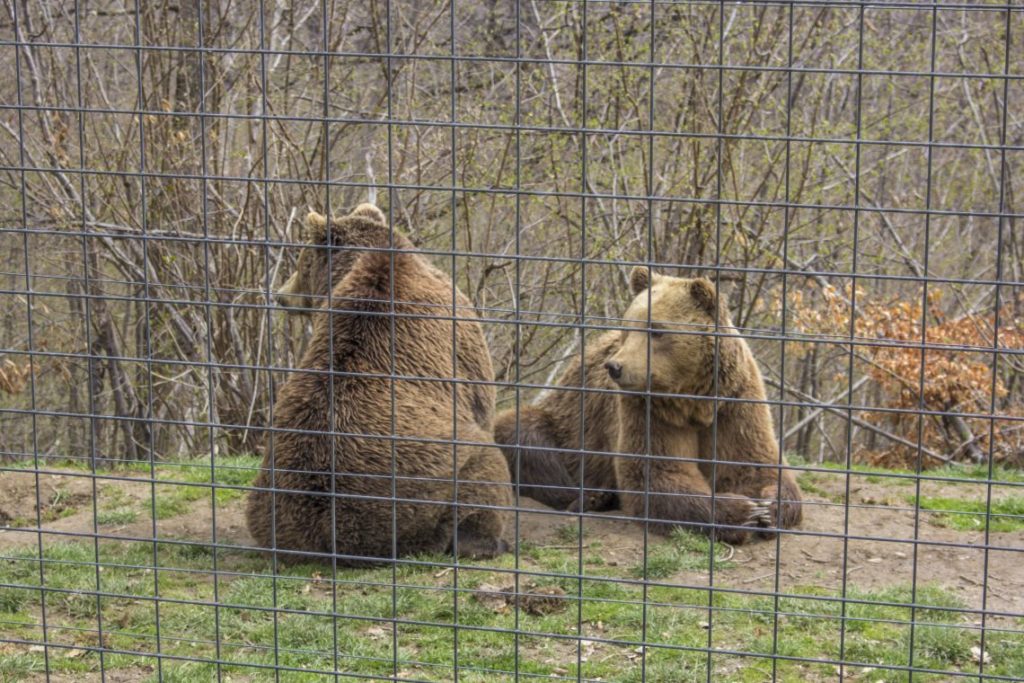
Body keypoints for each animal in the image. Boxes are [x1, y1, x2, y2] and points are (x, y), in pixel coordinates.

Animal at [247, 204, 512, 565]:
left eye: (300, 262)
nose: (281, 296)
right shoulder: (462, 341)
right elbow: (482, 403)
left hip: (267, 499)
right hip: (441, 474)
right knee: (487, 469)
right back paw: (491, 540)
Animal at [493, 266, 798, 544]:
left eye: (656, 330)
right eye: (629, 326)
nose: (615, 367)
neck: (693, 401)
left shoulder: (733, 402)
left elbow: (754, 464)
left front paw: (767, 509)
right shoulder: (648, 410)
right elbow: (659, 474)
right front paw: (742, 511)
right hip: (566, 423)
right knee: (523, 435)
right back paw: (591, 496)